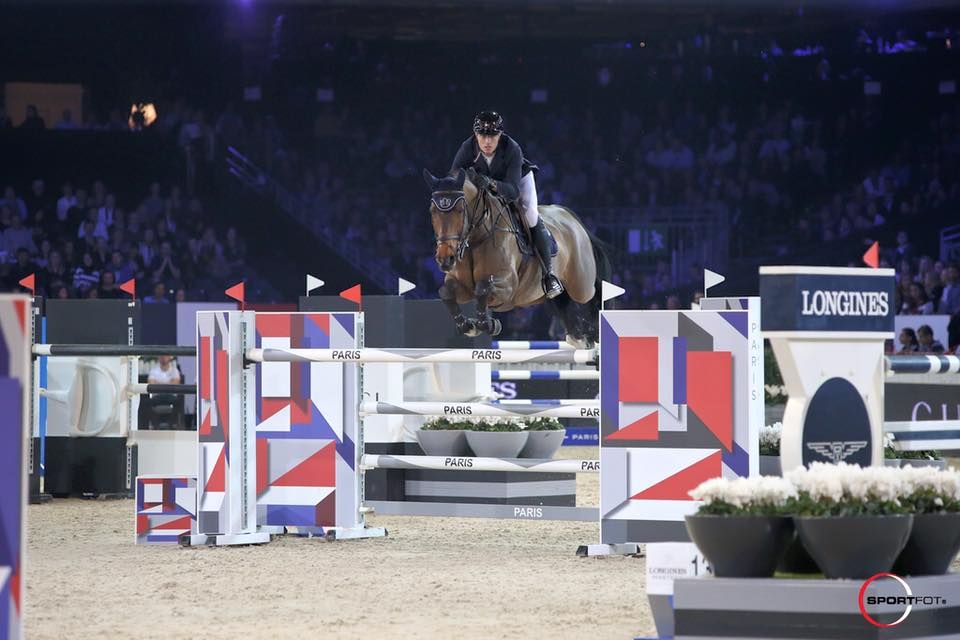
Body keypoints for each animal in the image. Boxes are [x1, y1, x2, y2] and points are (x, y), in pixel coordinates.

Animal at [424, 168, 612, 348]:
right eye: (432, 212)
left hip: (580, 285)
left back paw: (596, 333)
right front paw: (467, 326)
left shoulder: (507, 287)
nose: (445, 259)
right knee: (564, 303)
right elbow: (446, 292)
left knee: (593, 293)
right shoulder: (463, 287)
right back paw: (580, 338)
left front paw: (489, 325)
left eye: (460, 210)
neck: (477, 237)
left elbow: (483, 288)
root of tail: (572, 219)